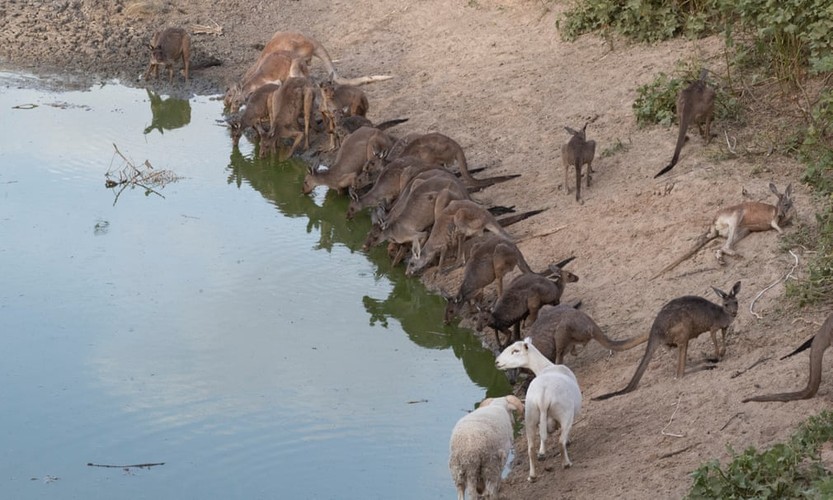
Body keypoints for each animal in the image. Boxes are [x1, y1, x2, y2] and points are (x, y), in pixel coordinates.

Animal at [494, 338, 580, 482]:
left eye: (515, 351)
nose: (496, 362)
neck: (544, 367)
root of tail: (543, 396)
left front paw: (542, 452)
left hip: (530, 415)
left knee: (530, 448)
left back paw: (532, 475)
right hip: (565, 413)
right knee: (560, 441)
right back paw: (566, 463)